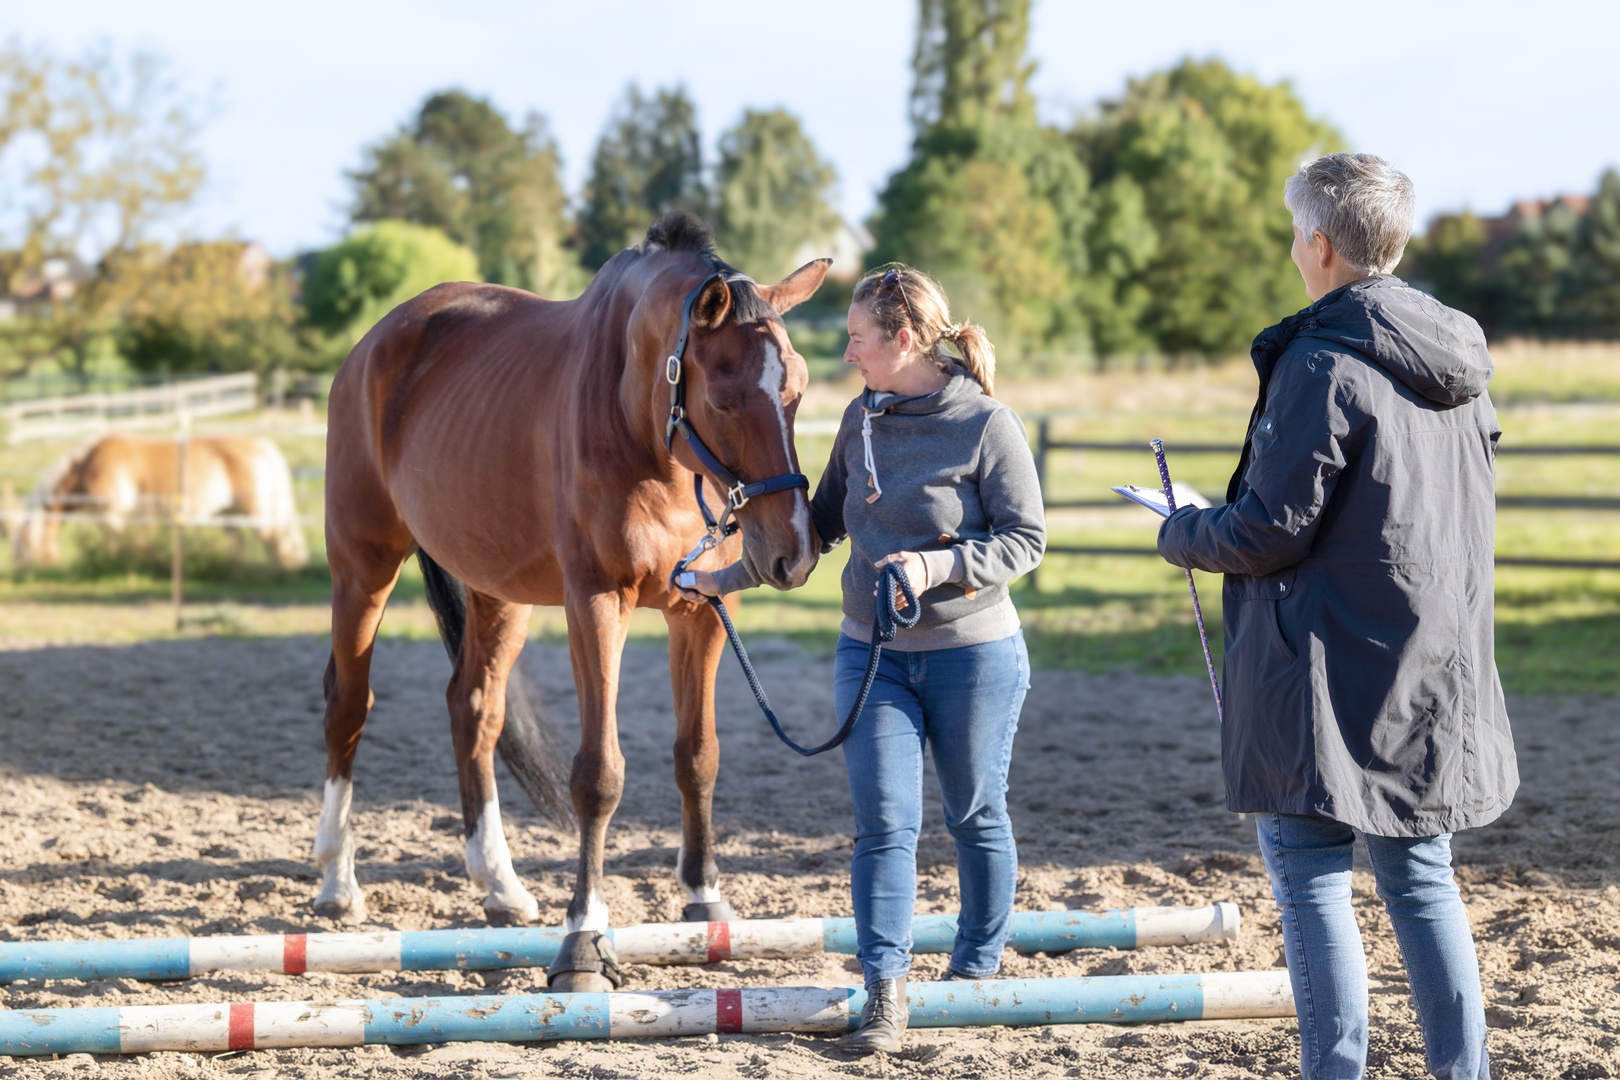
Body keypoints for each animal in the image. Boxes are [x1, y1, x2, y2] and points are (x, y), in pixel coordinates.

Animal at [12, 432, 309, 570]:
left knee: (271, 539)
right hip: (228, 514)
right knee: (242, 543)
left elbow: (114, 545)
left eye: (24, 546)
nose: (23, 573)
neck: (90, 465)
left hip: (255, 511)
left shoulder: (112, 515)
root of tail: (262, 445)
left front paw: (118, 563)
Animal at [316, 211, 828, 992]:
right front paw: (584, 940)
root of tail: (375, 343)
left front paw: (704, 896)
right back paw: (338, 882)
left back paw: (500, 885)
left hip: (497, 593)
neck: (639, 429)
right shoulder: (596, 603)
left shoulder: (702, 613)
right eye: (723, 399)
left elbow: (698, 755)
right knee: (349, 704)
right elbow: (598, 776)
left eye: (796, 389)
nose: (794, 553)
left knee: (474, 707)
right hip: (361, 568)